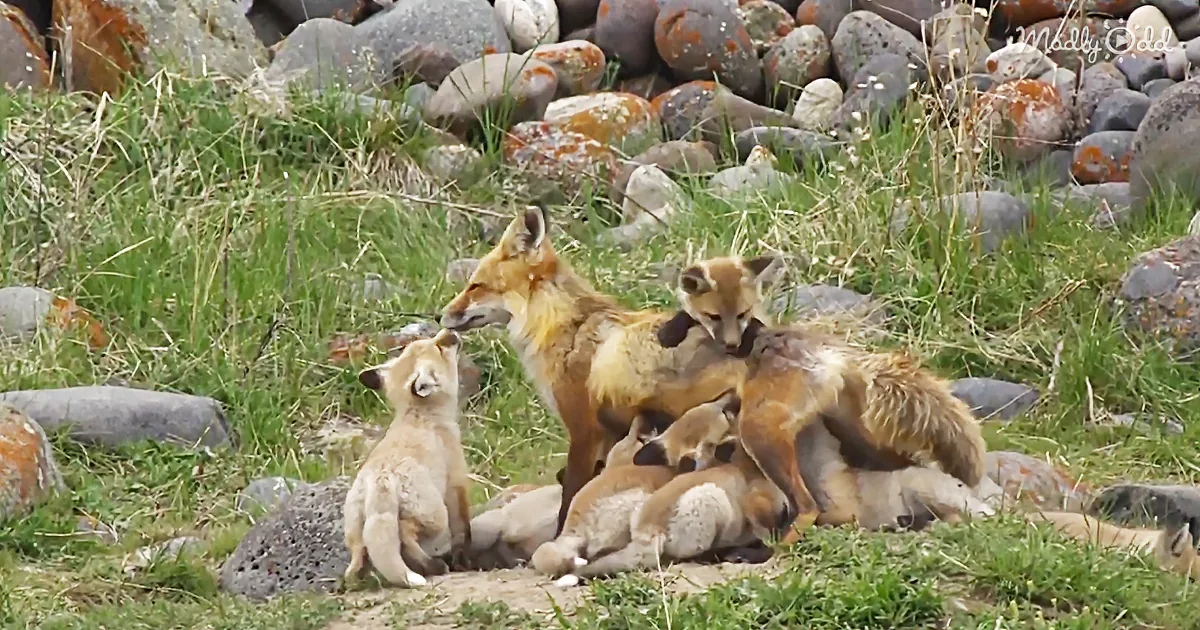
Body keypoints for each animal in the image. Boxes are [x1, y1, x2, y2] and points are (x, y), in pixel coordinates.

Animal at [342, 328, 472, 589]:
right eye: (439, 348)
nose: (449, 331)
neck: (417, 416)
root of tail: (381, 479)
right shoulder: (456, 482)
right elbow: (463, 528)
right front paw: (465, 560)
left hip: (354, 530)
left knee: (358, 557)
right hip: (434, 516)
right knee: (405, 534)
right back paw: (431, 566)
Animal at [439, 204, 754, 534]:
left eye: (476, 286)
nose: (438, 315)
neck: (564, 327)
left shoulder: (583, 429)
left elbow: (571, 496)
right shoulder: (613, 434)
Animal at [556, 394, 788, 585]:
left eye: (712, 404)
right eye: (725, 414)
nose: (734, 395)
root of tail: (648, 531)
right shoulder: (761, 509)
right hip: (710, 498)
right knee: (691, 555)